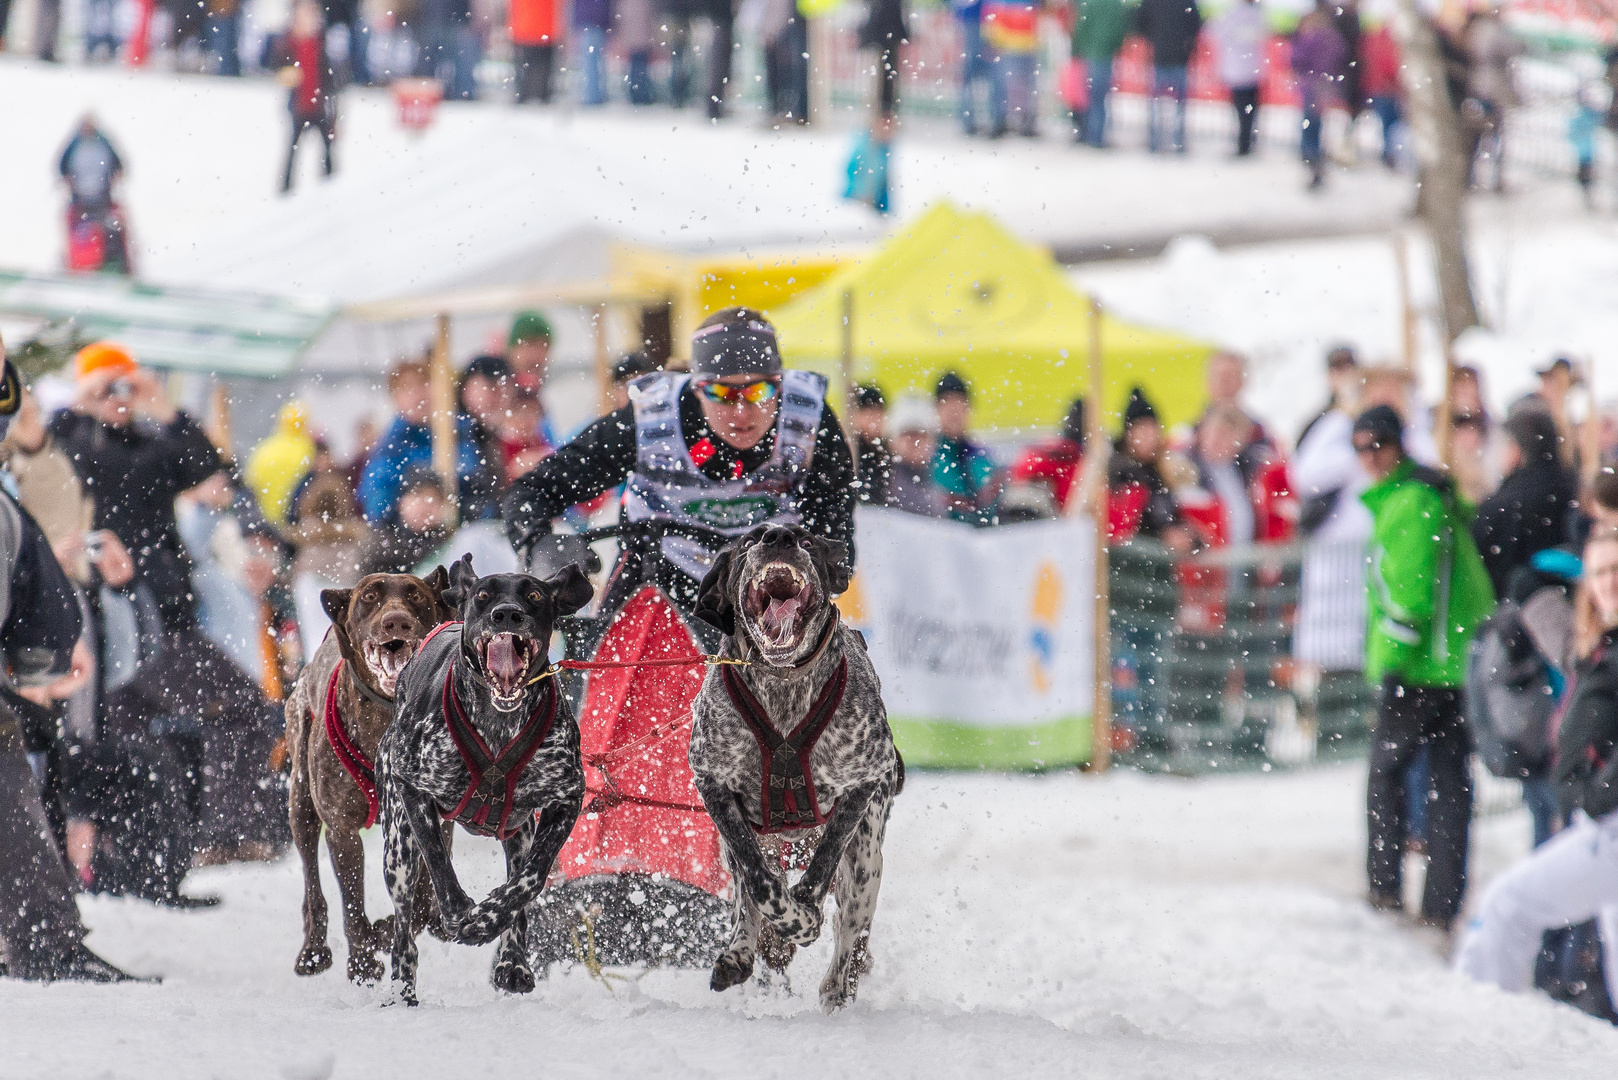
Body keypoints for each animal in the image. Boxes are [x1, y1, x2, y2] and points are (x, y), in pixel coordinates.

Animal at [283, 569, 449, 984]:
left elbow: (422, 902)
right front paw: (361, 960)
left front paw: (388, 930)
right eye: (370, 597)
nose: (396, 622)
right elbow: (352, 903)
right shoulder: (341, 830)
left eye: (416, 596)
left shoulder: (435, 820)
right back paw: (314, 950)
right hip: (301, 805)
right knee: (313, 884)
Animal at [378, 553, 595, 1010]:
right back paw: (402, 987)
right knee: (403, 927)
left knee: (520, 886)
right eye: (482, 596)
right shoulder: (412, 787)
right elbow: (439, 862)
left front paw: (489, 920)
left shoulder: (567, 797)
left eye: (534, 595)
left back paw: (512, 962)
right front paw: (463, 913)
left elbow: (531, 880)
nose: (506, 614)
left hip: (519, 832)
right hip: (397, 849)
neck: (498, 725)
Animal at [689, 524, 906, 1016]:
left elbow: (822, 865)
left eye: (807, 541)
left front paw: (804, 916)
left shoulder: (863, 781)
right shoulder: (713, 784)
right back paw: (743, 951)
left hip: (867, 861)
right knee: (748, 893)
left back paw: (837, 986)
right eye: (749, 541)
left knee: (850, 935)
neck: (783, 686)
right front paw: (779, 929)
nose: (778, 535)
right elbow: (758, 883)